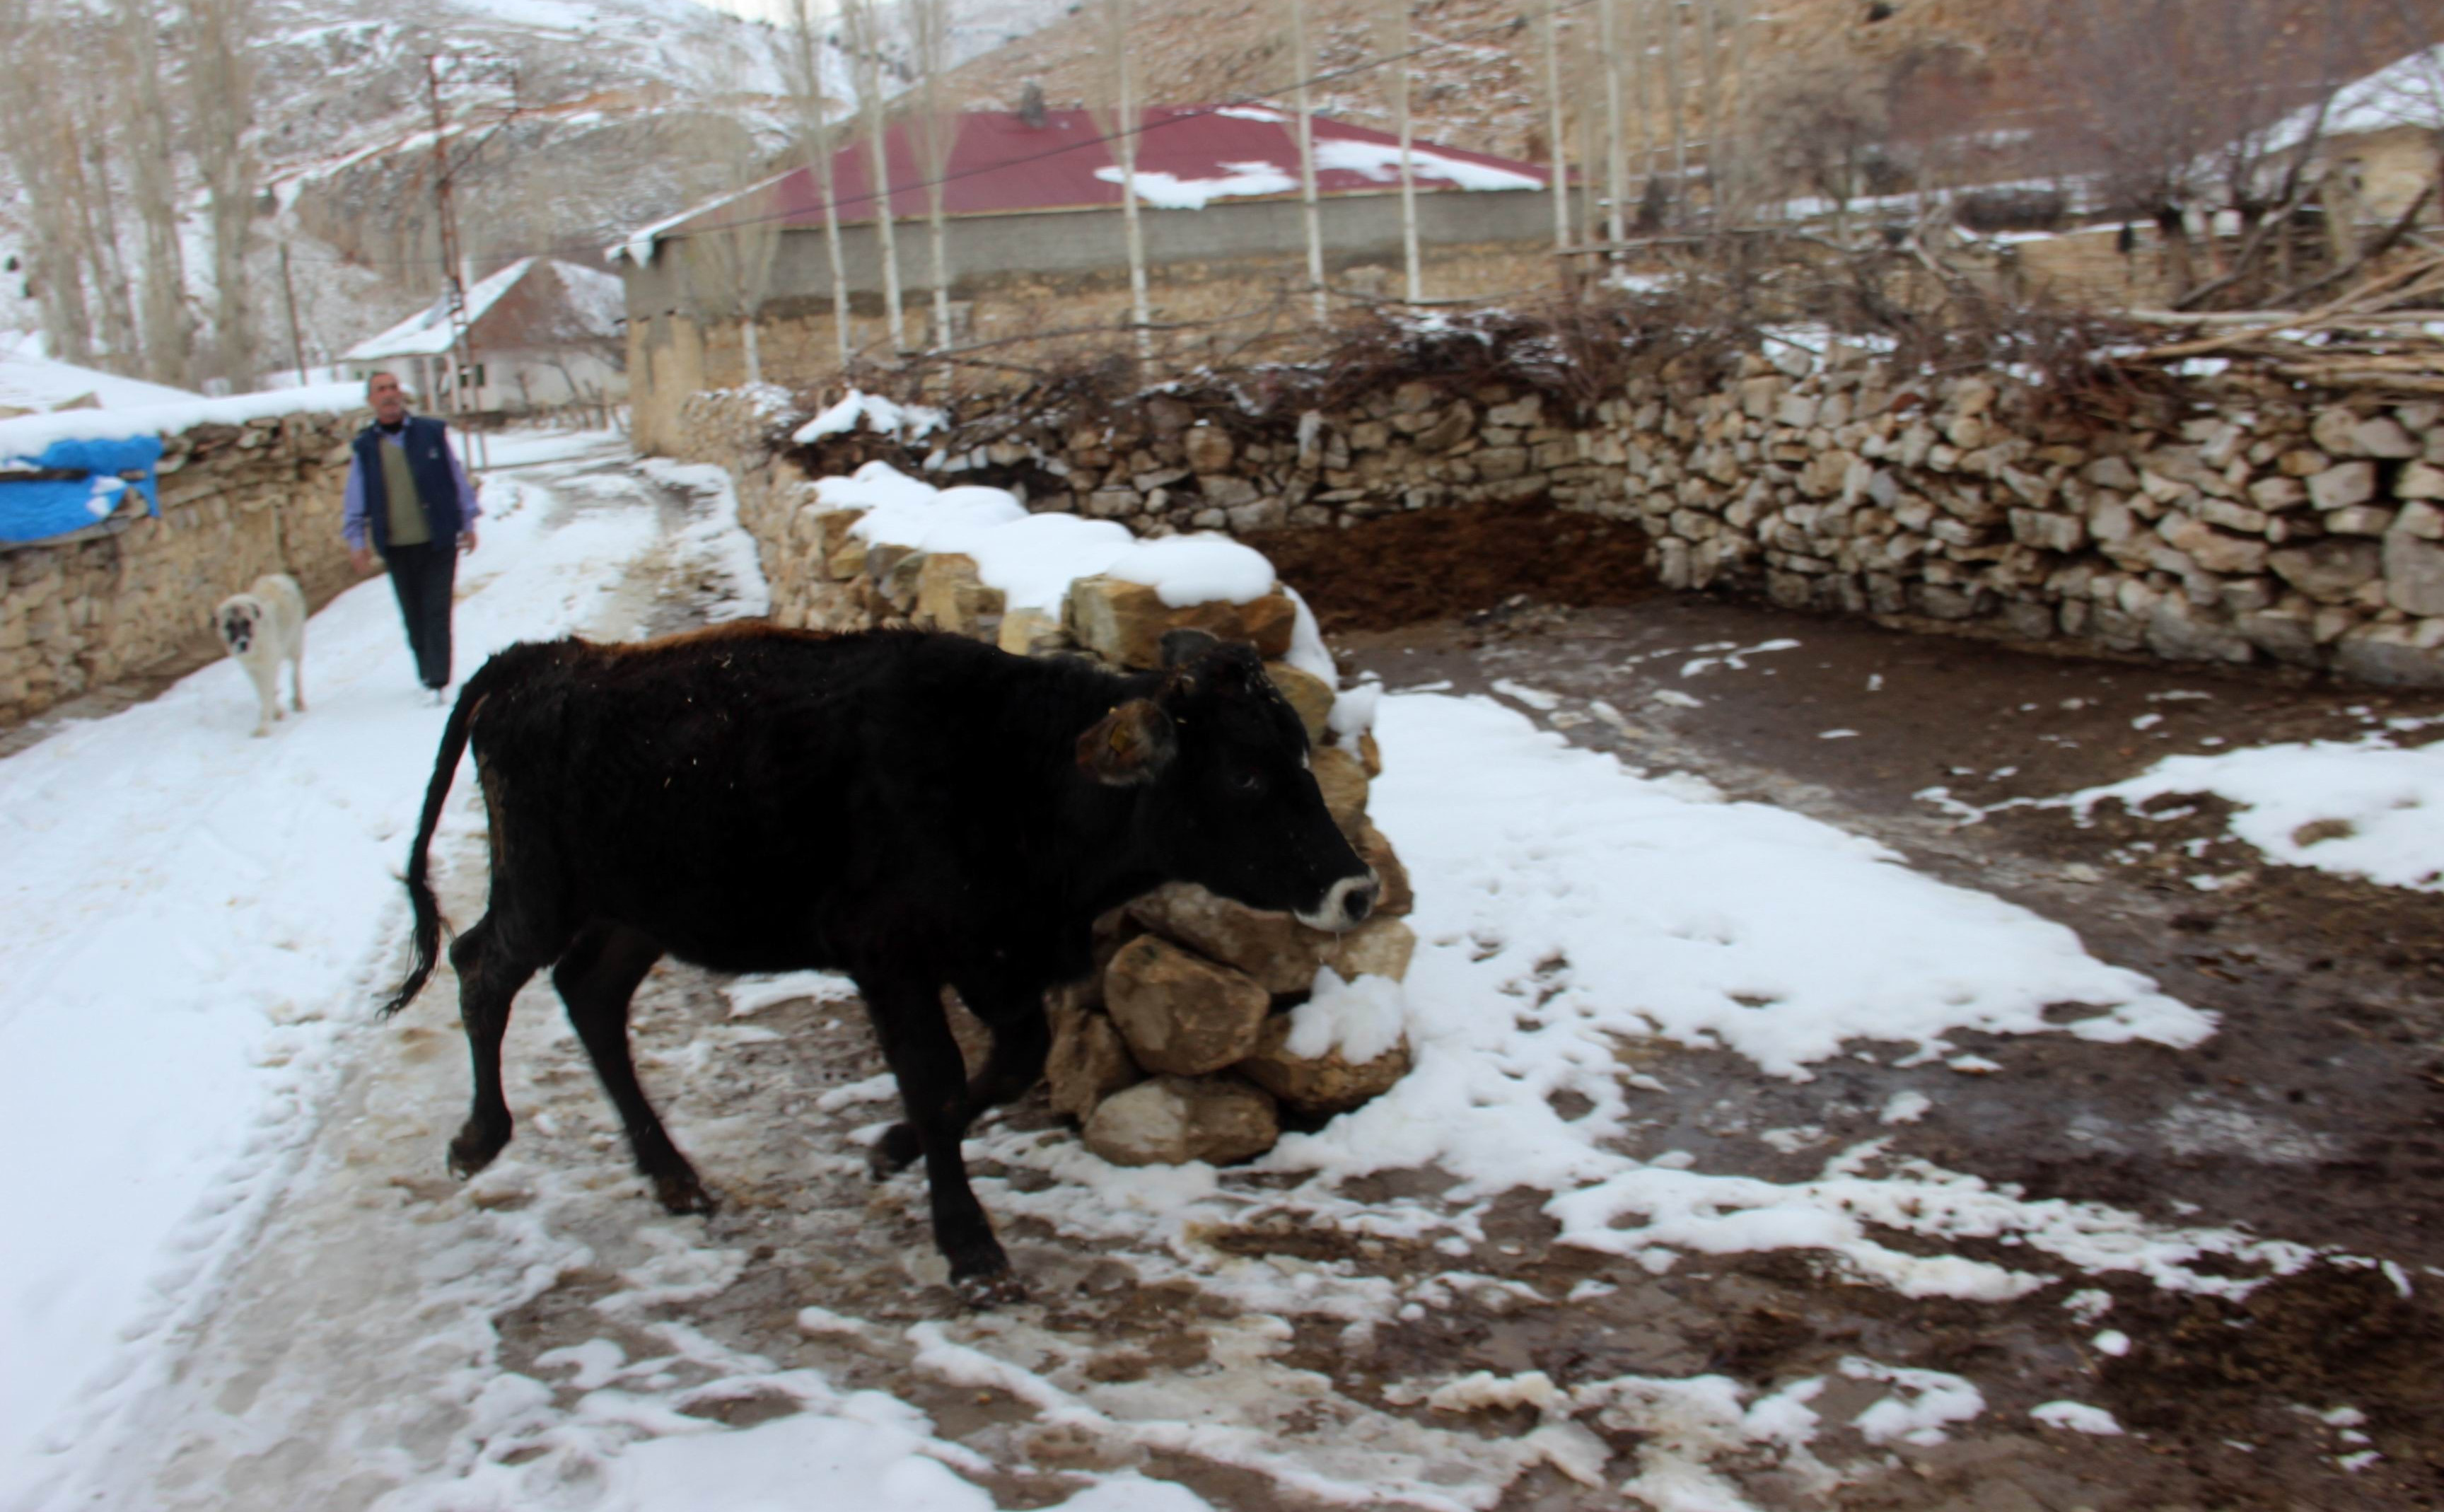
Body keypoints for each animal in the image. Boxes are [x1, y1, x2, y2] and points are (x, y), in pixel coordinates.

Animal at [216, 574, 308, 738]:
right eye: (229, 626)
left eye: (247, 623)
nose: (243, 644)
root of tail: (277, 577)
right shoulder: (253, 670)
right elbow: (264, 693)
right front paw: (276, 713)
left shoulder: (268, 667)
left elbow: (267, 695)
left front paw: (263, 728)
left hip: (295, 645)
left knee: (295, 674)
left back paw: (298, 702)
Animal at [378, 625, 1378, 1299]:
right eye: (1245, 774)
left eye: (1300, 753)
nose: (1358, 889)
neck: (1011, 772)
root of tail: (544, 657)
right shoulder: (890, 956)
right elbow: (935, 1079)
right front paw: (971, 1247)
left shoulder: (996, 957)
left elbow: (1008, 1065)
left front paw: (891, 1147)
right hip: (541, 891)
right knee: (480, 968)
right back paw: (479, 1138)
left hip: (639, 909)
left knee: (589, 994)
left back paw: (671, 1173)